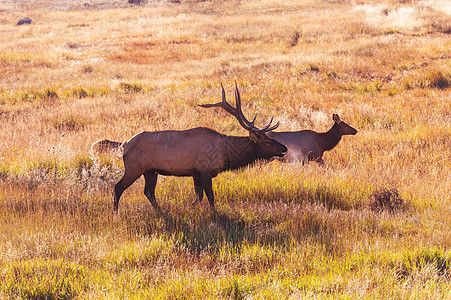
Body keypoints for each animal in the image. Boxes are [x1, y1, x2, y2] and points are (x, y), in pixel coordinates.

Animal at [115, 83, 288, 212]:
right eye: (267, 141)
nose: (284, 148)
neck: (227, 155)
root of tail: (125, 145)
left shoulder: (195, 173)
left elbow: (198, 196)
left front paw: (187, 209)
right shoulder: (205, 171)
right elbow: (210, 197)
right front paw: (214, 215)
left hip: (150, 171)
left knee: (149, 192)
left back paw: (161, 211)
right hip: (134, 167)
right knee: (118, 187)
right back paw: (115, 212)